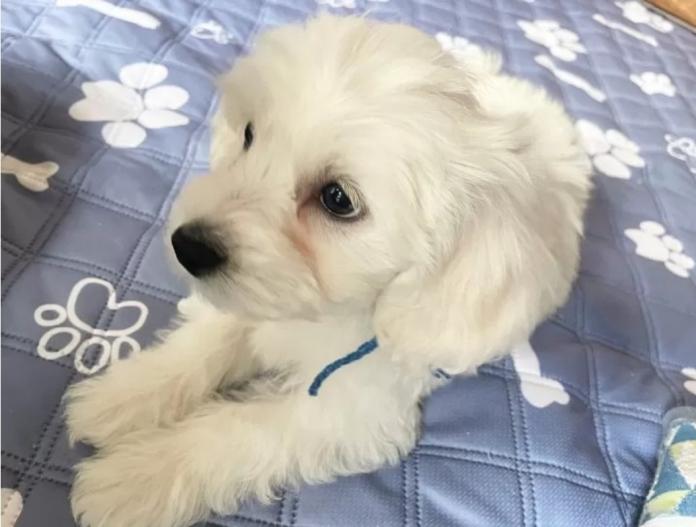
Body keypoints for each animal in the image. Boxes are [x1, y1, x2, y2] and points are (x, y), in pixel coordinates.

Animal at [66, 14, 592, 527]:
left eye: (338, 199)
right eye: (250, 135)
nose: (188, 247)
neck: (318, 314)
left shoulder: (350, 409)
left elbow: (237, 432)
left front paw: (134, 477)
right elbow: (206, 343)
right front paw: (125, 395)